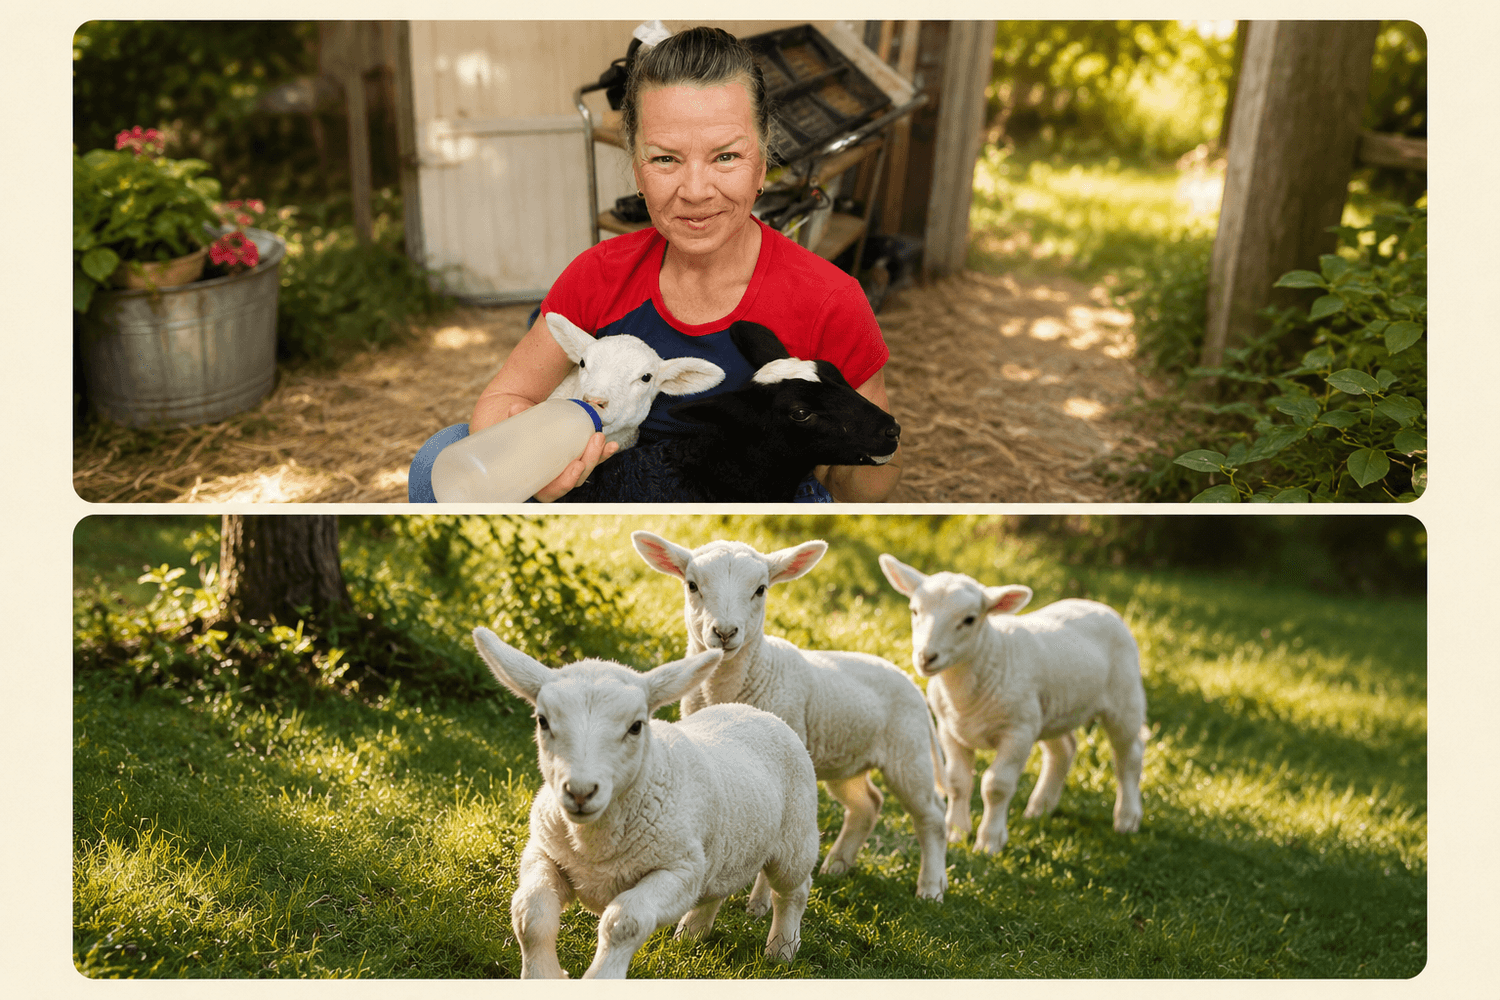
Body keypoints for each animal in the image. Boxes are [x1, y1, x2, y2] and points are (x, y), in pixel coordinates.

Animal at [472, 627, 819, 979]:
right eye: (542, 721)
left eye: (636, 726)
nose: (581, 792)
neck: (594, 847)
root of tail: (754, 711)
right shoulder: (544, 853)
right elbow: (530, 913)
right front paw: (542, 975)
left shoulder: (680, 871)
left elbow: (624, 922)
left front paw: (601, 978)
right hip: (724, 850)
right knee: (719, 887)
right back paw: (691, 936)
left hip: (796, 839)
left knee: (794, 890)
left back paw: (781, 950)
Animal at [632, 531, 949, 902]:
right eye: (692, 585)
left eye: (761, 589)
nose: (725, 632)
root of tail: (911, 684)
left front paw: (759, 903)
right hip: (848, 761)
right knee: (866, 804)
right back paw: (837, 865)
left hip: (908, 753)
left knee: (932, 816)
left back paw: (931, 887)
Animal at [877, 554, 1148, 854]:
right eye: (915, 611)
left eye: (969, 619)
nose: (926, 657)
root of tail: (1098, 605)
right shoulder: (951, 730)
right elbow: (958, 782)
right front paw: (955, 832)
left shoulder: (1017, 732)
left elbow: (996, 785)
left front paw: (989, 841)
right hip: (1050, 710)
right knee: (1063, 750)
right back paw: (1040, 808)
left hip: (1124, 699)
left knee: (1129, 756)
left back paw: (1127, 818)